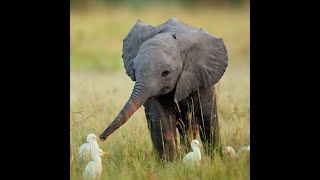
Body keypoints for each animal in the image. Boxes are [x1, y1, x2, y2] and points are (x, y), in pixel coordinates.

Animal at [100, 17, 228, 161]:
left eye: (165, 73)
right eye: (134, 70)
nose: (101, 137)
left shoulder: (202, 77)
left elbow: (207, 120)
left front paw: (216, 161)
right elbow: (163, 122)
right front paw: (170, 164)